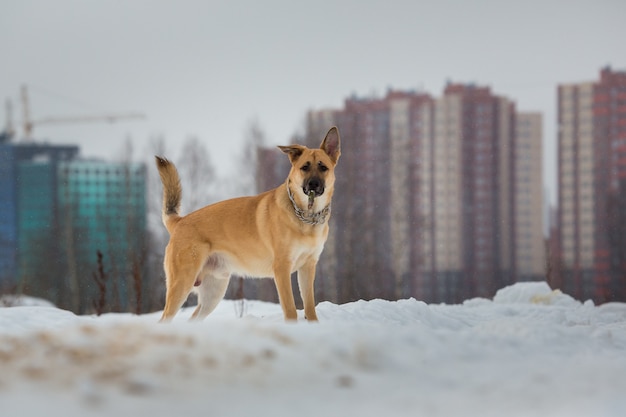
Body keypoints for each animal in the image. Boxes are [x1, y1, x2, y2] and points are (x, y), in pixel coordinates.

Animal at [156, 125, 342, 320]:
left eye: (323, 167)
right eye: (304, 167)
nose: (313, 184)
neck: (306, 216)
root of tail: (179, 221)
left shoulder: (308, 267)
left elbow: (310, 306)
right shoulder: (282, 268)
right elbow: (290, 309)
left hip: (213, 293)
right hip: (182, 284)